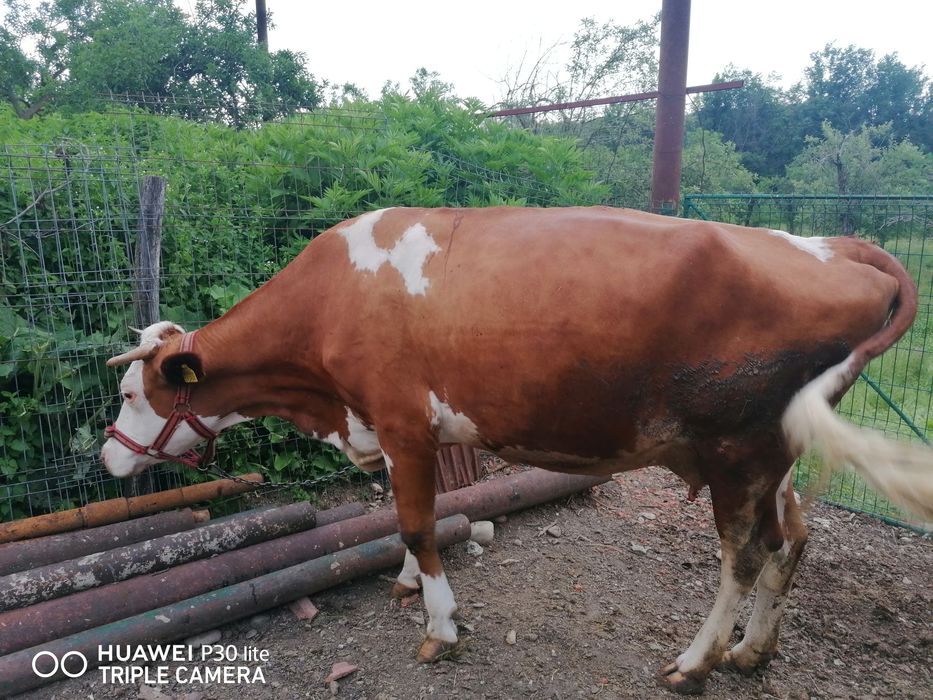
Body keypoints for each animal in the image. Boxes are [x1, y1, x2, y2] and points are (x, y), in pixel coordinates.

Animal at [100, 206, 932, 694]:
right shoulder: (405, 432)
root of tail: (826, 243)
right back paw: (751, 652)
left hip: (737, 450)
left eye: (134, 395)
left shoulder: (400, 423)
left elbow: (414, 523)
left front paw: (438, 627)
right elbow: (410, 520)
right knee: (792, 538)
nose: (106, 460)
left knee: (745, 555)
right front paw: (408, 584)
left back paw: (693, 663)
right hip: (777, 455)